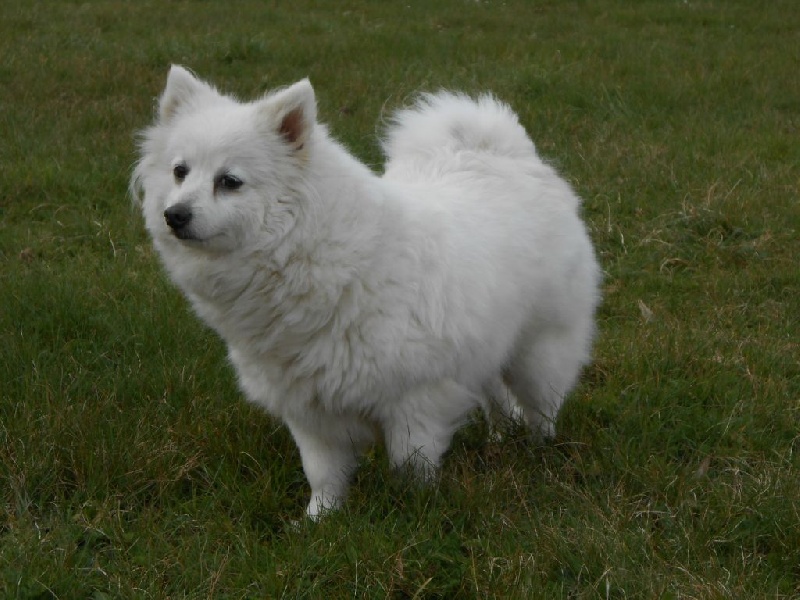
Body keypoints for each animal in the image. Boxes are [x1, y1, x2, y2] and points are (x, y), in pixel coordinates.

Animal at [132, 65, 601, 518]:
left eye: (229, 181)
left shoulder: (414, 401)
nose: (174, 215)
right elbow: (323, 474)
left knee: (542, 407)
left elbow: (410, 466)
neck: (318, 257)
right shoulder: (310, 411)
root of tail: (500, 153)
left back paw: (539, 452)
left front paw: (414, 513)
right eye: (180, 172)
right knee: (496, 397)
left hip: (539, 352)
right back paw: (501, 439)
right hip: (487, 343)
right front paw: (319, 520)